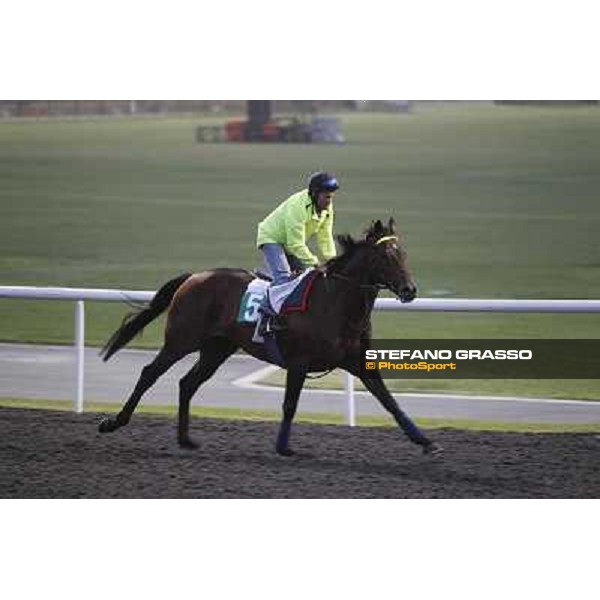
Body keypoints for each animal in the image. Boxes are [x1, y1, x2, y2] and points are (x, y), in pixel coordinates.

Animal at [99, 218, 440, 458]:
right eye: (385, 256)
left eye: (403, 253)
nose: (410, 290)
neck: (336, 302)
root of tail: (194, 276)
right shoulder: (299, 362)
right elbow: (290, 404)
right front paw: (283, 447)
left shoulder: (359, 364)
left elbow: (390, 401)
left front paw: (425, 441)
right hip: (181, 340)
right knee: (150, 373)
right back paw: (113, 422)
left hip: (216, 349)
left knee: (188, 383)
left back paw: (185, 439)